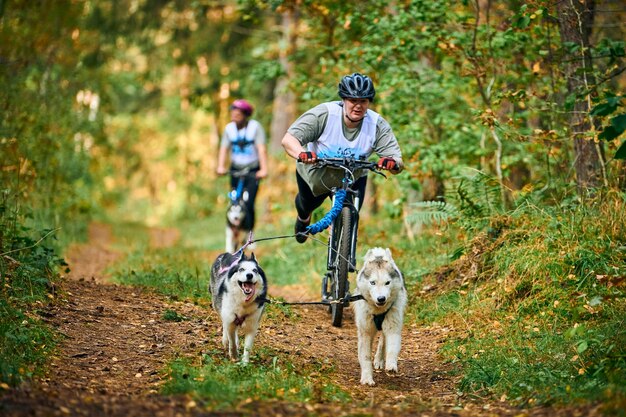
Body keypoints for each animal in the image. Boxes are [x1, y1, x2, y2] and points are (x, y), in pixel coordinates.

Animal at [352, 245, 404, 386]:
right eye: (372, 283)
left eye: (387, 283)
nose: (381, 298)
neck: (378, 311)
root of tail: (378, 254)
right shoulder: (365, 332)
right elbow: (365, 357)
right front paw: (367, 378)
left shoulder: (393, 328)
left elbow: (392, 348)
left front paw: (391, 365)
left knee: (382, 341)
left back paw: (379, 360)